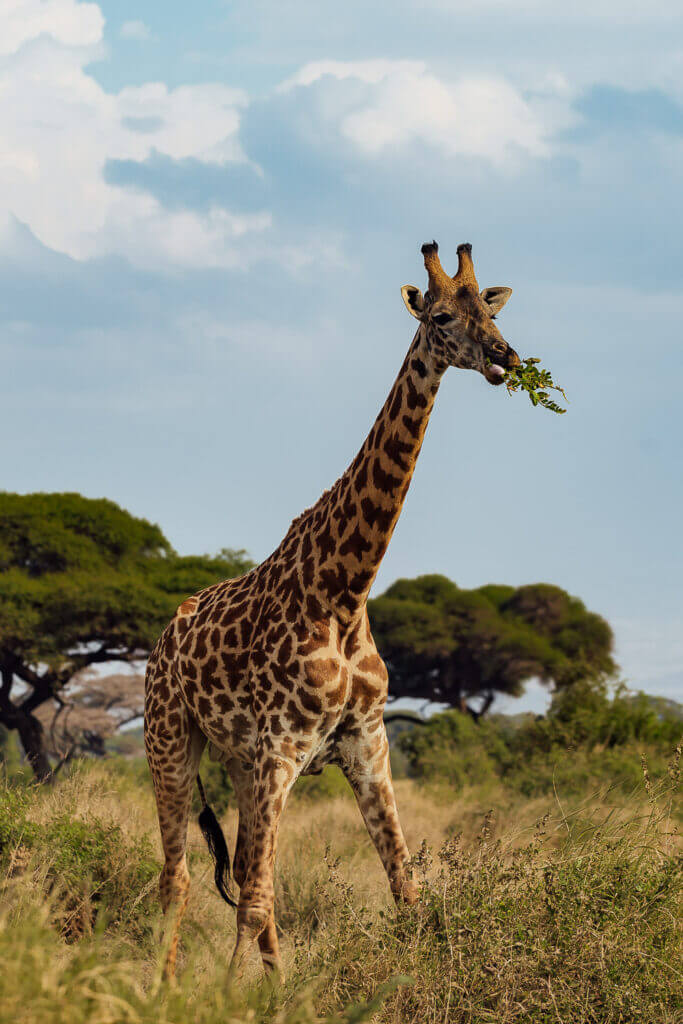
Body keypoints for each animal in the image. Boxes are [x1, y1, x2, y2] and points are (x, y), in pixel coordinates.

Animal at [144, 237, 518, 974]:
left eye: (487, 310)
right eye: (439, 318)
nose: (504, 357)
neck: (345, 592)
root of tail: (161, 642)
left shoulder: (365, 740)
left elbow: (403, 885)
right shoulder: (282, 750)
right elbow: (257, 899)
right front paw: (238, 995)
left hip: (237, 763)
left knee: (241, 879)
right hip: (170, 740)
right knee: (179, 880)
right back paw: (162, 987)